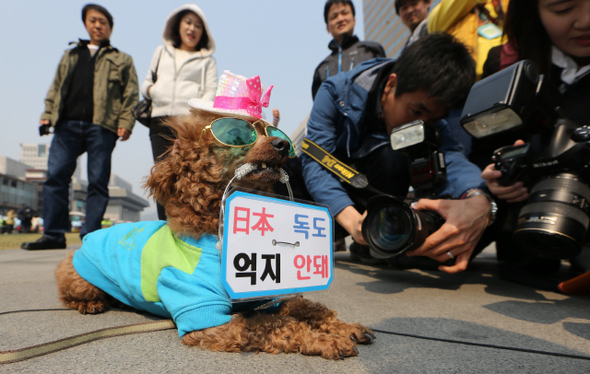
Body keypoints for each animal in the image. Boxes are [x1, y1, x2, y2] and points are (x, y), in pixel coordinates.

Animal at [54, 110, 374, 360]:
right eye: (237, 135)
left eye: (272, 131)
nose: (283, 144)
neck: (214, 225)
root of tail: (88, 238)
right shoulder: (208, 318)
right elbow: (271, 324)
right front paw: (327, 340)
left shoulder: (261, 295)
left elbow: (304, 305)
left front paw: (345, 328)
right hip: (77, 277)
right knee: (72, 294)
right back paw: (90, 304)